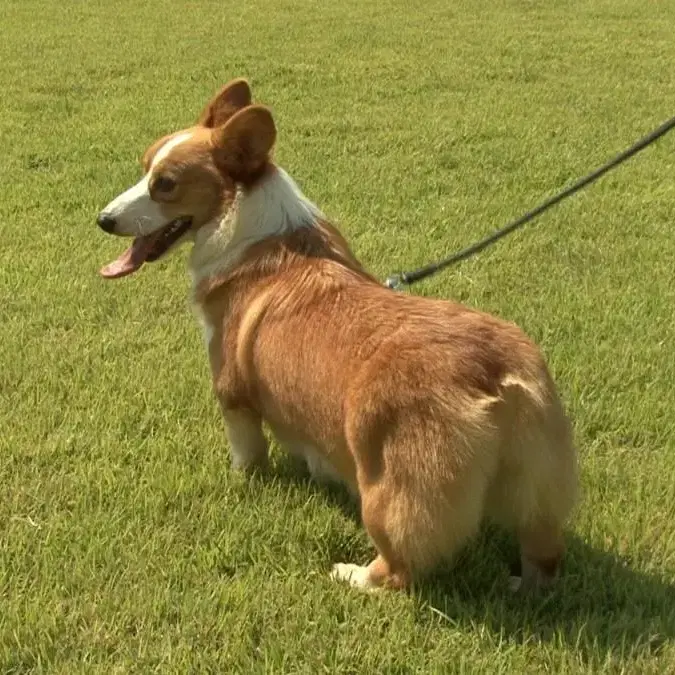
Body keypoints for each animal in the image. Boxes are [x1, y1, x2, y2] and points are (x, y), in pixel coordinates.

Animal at [97, 76, 580, 588]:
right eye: (145, 168)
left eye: (165, 184)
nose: (103, 220)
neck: (247, 224)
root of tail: (497, 378)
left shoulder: (233, 396)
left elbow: (247, 454)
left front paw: (242, 483)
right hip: (538, 488)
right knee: (543, 554)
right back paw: (522, 584)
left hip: (388, 493)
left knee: (399, 571)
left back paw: (352, 575)